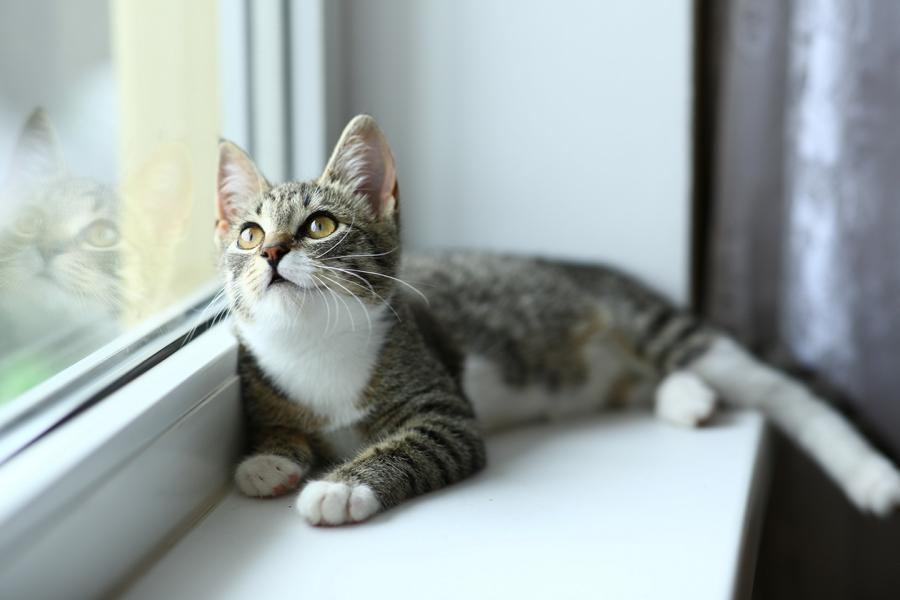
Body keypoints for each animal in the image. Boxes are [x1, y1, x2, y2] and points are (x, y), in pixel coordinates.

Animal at [216, 113, 900, 524]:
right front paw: (268, 460)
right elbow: (279, 429)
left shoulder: (444, 405)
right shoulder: (263, 383)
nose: (272, 254)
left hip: (653, 324)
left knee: (780, 391)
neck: (312, 343)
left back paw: (869, 474)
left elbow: (417, 443)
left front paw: (339, 487)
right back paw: (687, 399)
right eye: (249, 234)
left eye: (320, 226)